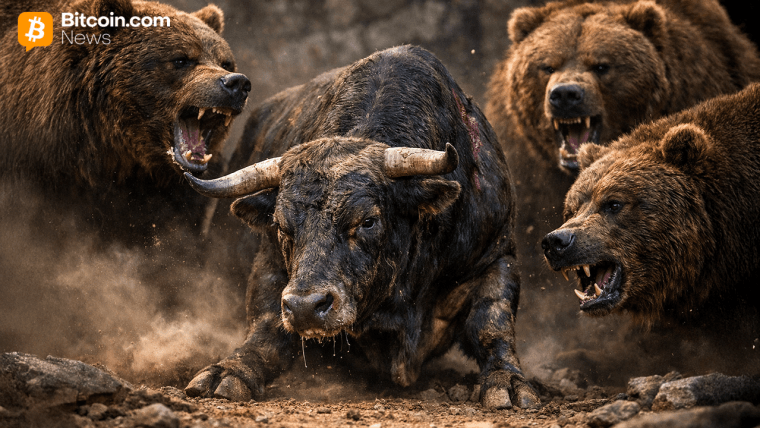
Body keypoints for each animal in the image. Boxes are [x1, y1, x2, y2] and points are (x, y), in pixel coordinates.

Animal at [182, 46, 540, 409]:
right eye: (281, 225)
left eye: (368, 220)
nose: (306, 308)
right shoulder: (271, 264)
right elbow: (266, 327)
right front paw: (231, 371)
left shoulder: (495, 256)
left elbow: (492, 323)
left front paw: (506, 380)